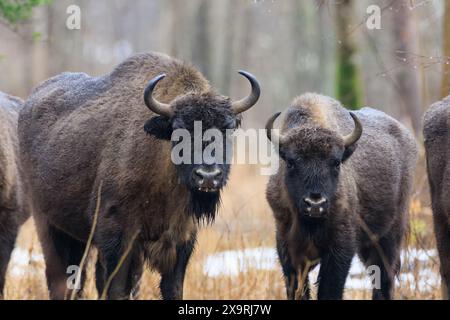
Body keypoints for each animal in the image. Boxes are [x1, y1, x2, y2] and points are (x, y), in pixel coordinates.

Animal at [18, 52, 260, 300]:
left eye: (228, 128)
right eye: (179, 129)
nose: (208, 176)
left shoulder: (182, 240)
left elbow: (171, 288)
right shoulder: (118, 238)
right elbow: (115, 288)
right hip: (47, 224)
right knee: (60, 279)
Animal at [266, 92, 416, 300]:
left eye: (336, 162)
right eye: (290, 162)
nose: (315, 203)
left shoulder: (340, 248)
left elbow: (330, 289)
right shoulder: (287, 247)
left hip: (390, 234)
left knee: (385, 277)